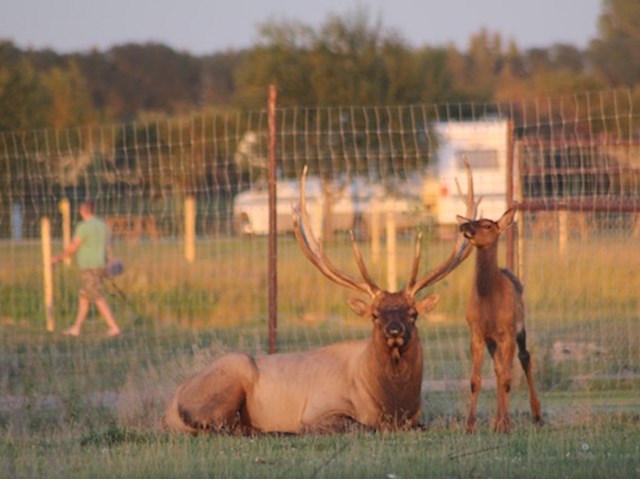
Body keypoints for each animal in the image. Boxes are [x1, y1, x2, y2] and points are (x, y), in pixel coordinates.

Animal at [162, 166, 478, 436]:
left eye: (413, 313)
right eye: (375, 315)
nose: (394, 330)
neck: (392, 403)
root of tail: (171, 407)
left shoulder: (416, 417)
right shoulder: (319, 411)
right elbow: (359, 426)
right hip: (229, 377)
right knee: (222, 425)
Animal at [458, 208, 544, 434]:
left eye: (487, 225)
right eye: (472, 220)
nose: (464, 225)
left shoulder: (508, 332)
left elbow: (507, 378)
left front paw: (507, 424)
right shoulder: (477, 333)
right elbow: (476, 380)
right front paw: (470, 426)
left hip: (519, 328)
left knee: (524, 358)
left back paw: (536, 416)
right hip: (492, 340)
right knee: (498, 370)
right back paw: (498, 421)